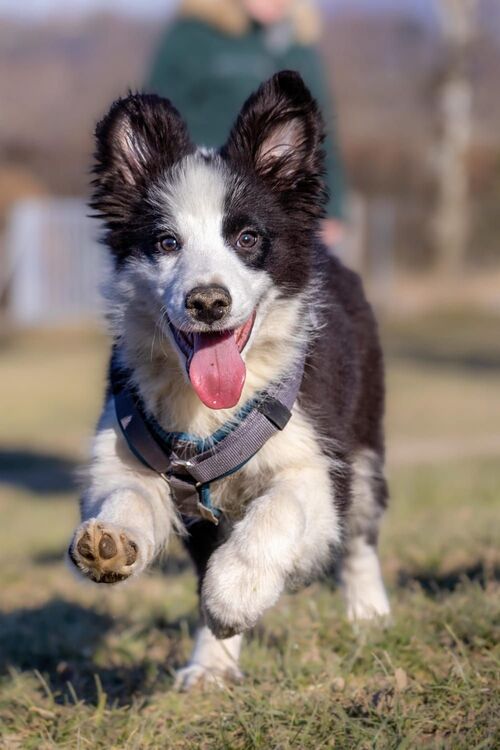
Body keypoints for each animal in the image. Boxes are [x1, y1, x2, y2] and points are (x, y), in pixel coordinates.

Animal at [68, 72, 390, 692]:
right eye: (166, 243)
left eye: (247, 239)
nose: (208, 302)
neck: (208, 408)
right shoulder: (127, 449)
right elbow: (126, 493)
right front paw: (111, 543)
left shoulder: (318, 460)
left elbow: (280, 511)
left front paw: (236, 592)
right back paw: (211, 664)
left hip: (364, 442)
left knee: (360, 533)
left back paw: (369, 612)